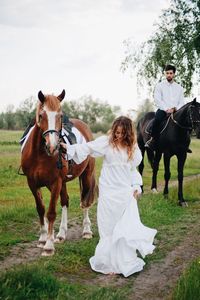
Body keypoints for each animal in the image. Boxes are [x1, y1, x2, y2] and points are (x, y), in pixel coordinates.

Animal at [20, 89, 95, 255]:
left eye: (60, 116)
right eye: (42, 115)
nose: (53, 146)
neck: (40, 154)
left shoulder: (55, 182)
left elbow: (51, 212)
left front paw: (48, 246)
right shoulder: (32, 183)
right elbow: (41, 209)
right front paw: (43, 239)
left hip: (85, 176)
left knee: (85, 201)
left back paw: (87, 231)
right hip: (62, 183)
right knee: (65, 201)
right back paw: (61, 234)